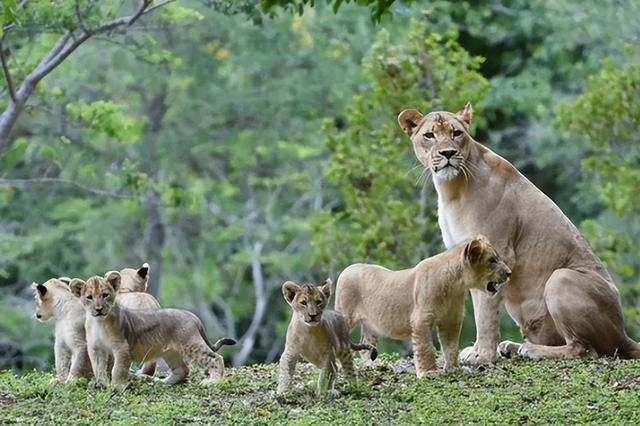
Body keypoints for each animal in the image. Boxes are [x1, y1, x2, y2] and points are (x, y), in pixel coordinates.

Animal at [398, 102, 636, 362]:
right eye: (429, 135)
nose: (448, 153)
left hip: (561, 278)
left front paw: (483, 355)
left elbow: (487, 311)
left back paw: (531, 350)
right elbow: (480, 306)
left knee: (584, 349)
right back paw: (512, 346)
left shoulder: (499, 253)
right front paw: (479, 350)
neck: (452, 188)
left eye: (456, 133)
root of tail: (624, 333)